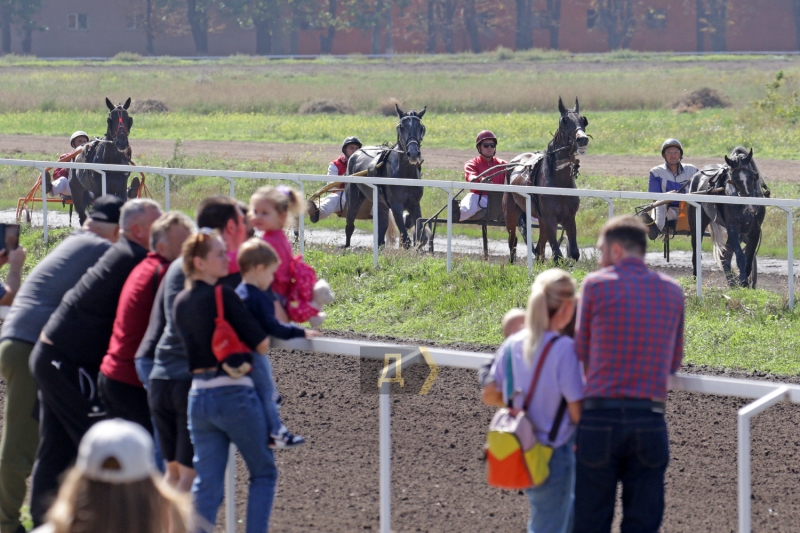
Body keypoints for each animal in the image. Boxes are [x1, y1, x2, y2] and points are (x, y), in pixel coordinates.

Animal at [346, 104, 428, 249]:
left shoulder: (414, 204)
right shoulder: (396, 205)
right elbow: (405, 238)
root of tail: (356, 152)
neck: (405, 175)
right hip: (353, 199)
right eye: (401, 127)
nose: (413, 153)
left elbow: (419, 234)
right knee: (350, 224)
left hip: (380, 203)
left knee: (382, 227)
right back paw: (346, 247)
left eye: (421, 127)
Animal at [504, 97, 592, 264]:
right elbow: (557, 255)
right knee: (512, 240)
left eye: (583, 120)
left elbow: (574, 253)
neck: (560, 185)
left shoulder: (569, 218)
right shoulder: (550, 218)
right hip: (511, 213)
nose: (582, 139)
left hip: (540, 219)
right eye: (564, 121)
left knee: (540, 248)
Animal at [684, 145, 764, 286]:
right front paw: (743, 281)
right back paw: (696, 277)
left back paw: (732, 281)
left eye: (753, 176)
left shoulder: (755, 230)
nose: (750, 208)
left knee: (724, 256)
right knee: (696, 250)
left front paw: (744, 281)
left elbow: (748, 257)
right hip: (696, 222)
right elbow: (740, 256)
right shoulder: (733, 228)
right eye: (734, 180)